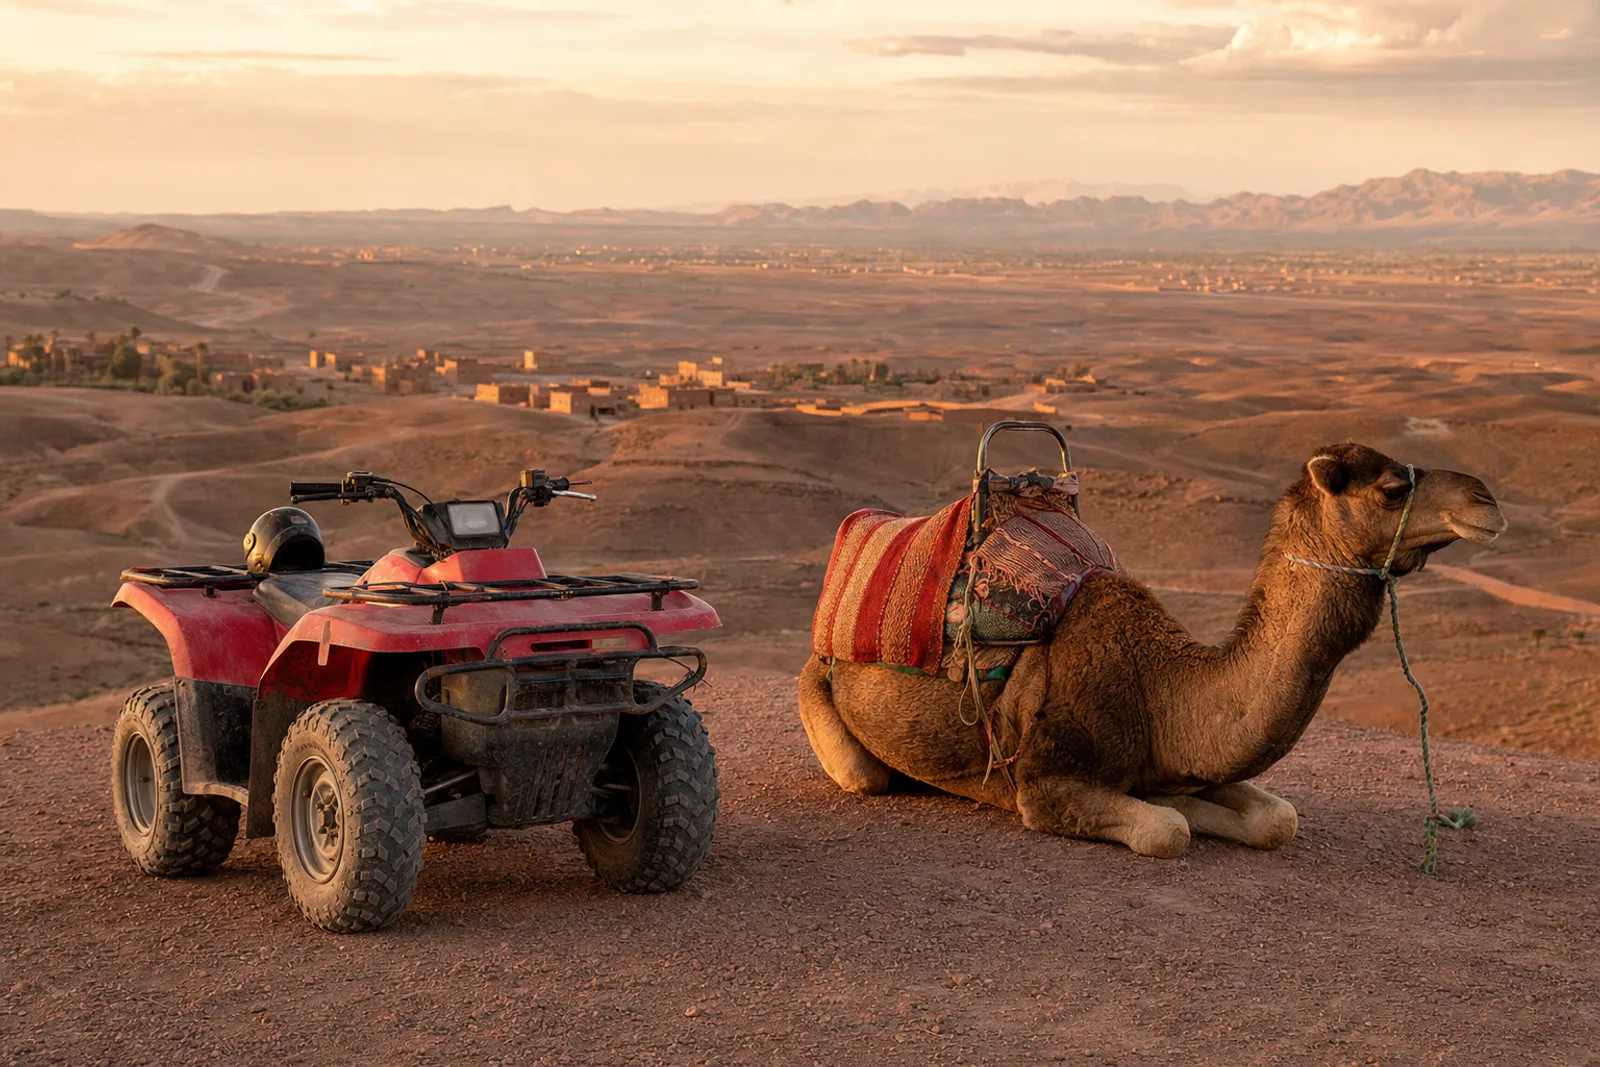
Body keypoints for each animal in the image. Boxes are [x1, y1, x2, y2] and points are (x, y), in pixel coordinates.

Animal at [798, 442, 1507, 857]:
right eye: (1391, 488)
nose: (1488, 499)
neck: (1158, 686)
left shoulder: (1200, 761)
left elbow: (1278, 819)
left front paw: (1185, 800)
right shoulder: (1044, 786)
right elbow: (1166, 832)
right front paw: (1173, 808)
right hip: (820, 690)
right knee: (864, 773)